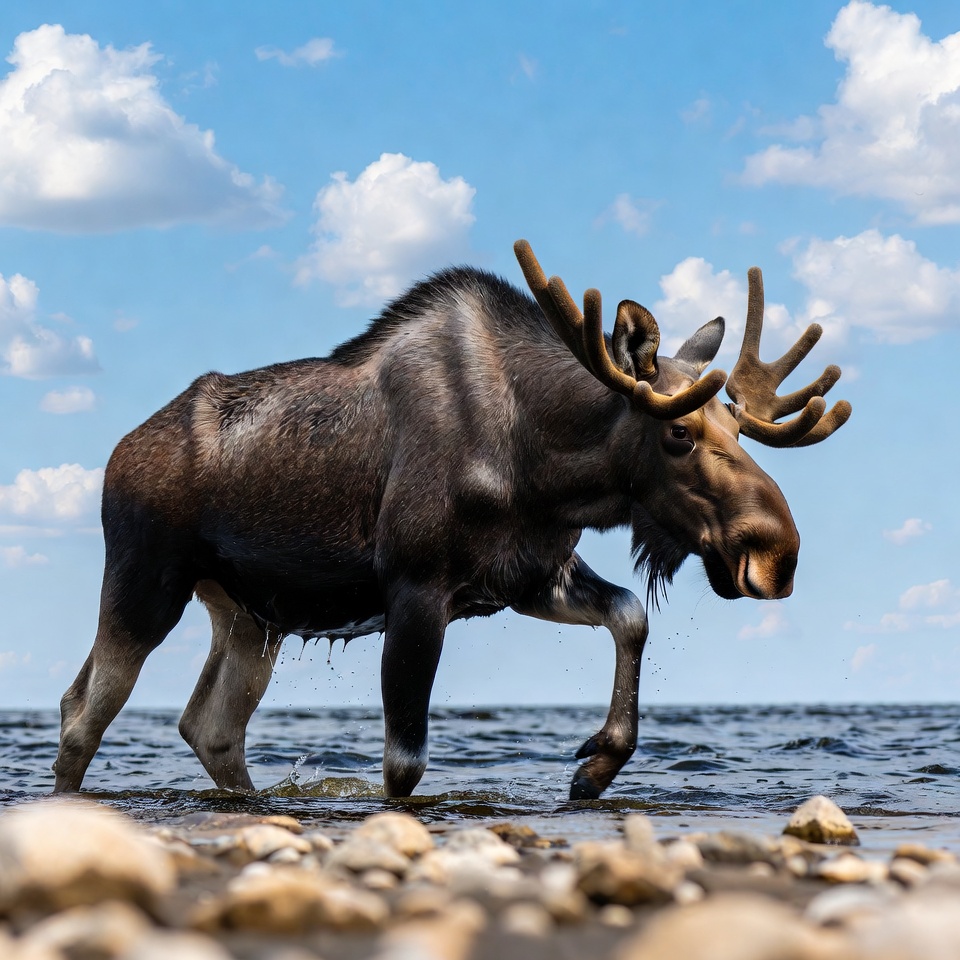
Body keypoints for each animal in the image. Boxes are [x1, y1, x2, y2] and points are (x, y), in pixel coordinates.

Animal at [52, 240, 850, 800]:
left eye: (738, 428)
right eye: (678, 433)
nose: (777, 553)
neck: (550, 467)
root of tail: (119, 453)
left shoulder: (528, 576)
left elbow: (629, 615)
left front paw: (595, 766)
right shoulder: (416, 589)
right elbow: (404, 765)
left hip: (247, 614)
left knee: (210, 725)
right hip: (146, 578)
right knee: (84, 707)